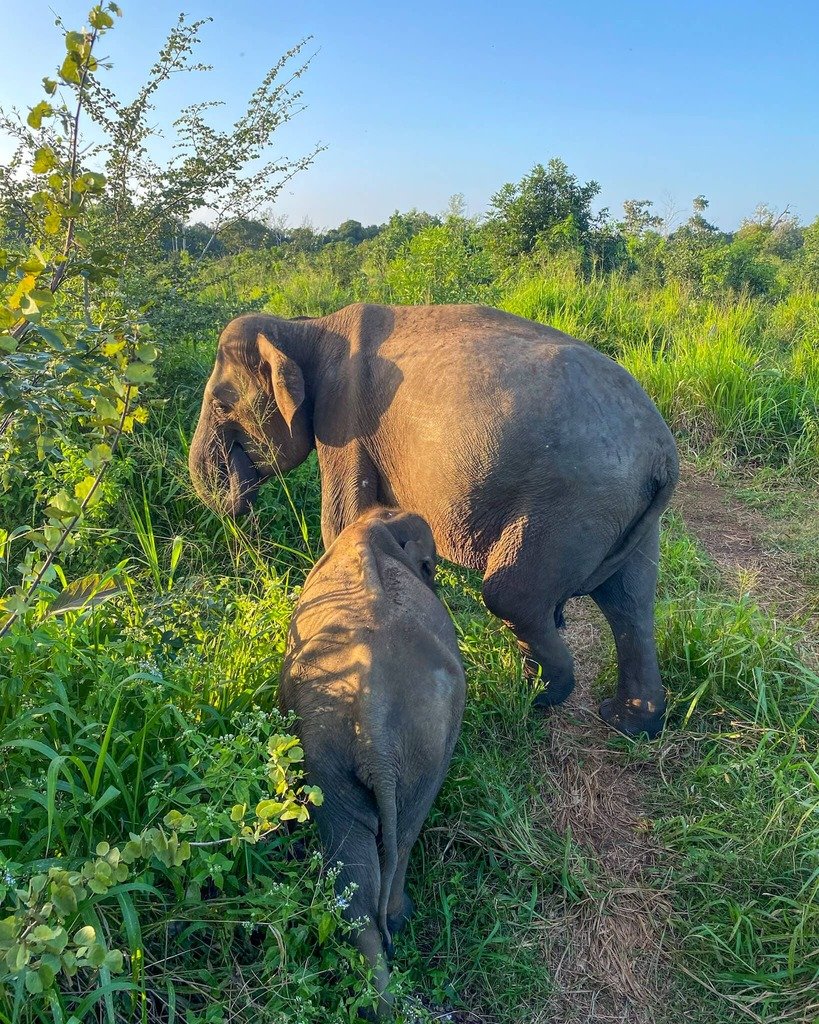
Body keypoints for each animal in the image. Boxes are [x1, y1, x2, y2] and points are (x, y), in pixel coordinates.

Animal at [190, 301, 679, 737]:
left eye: (220, 404)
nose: (236, 496)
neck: (304, 327)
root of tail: (663, 453)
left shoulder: (343, 415)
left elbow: (343, 520)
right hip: (617, 509)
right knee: (629, 603)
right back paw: (627, 723)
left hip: (572, 500)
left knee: (513, 595)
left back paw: (533, 696)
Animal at [278, 507, 464, 1011]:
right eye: (431, 566)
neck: (375, 524)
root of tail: (373, 721)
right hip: (407, 748)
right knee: (393, 841)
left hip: (348, 752)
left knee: (362, 865)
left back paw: (381, 988)